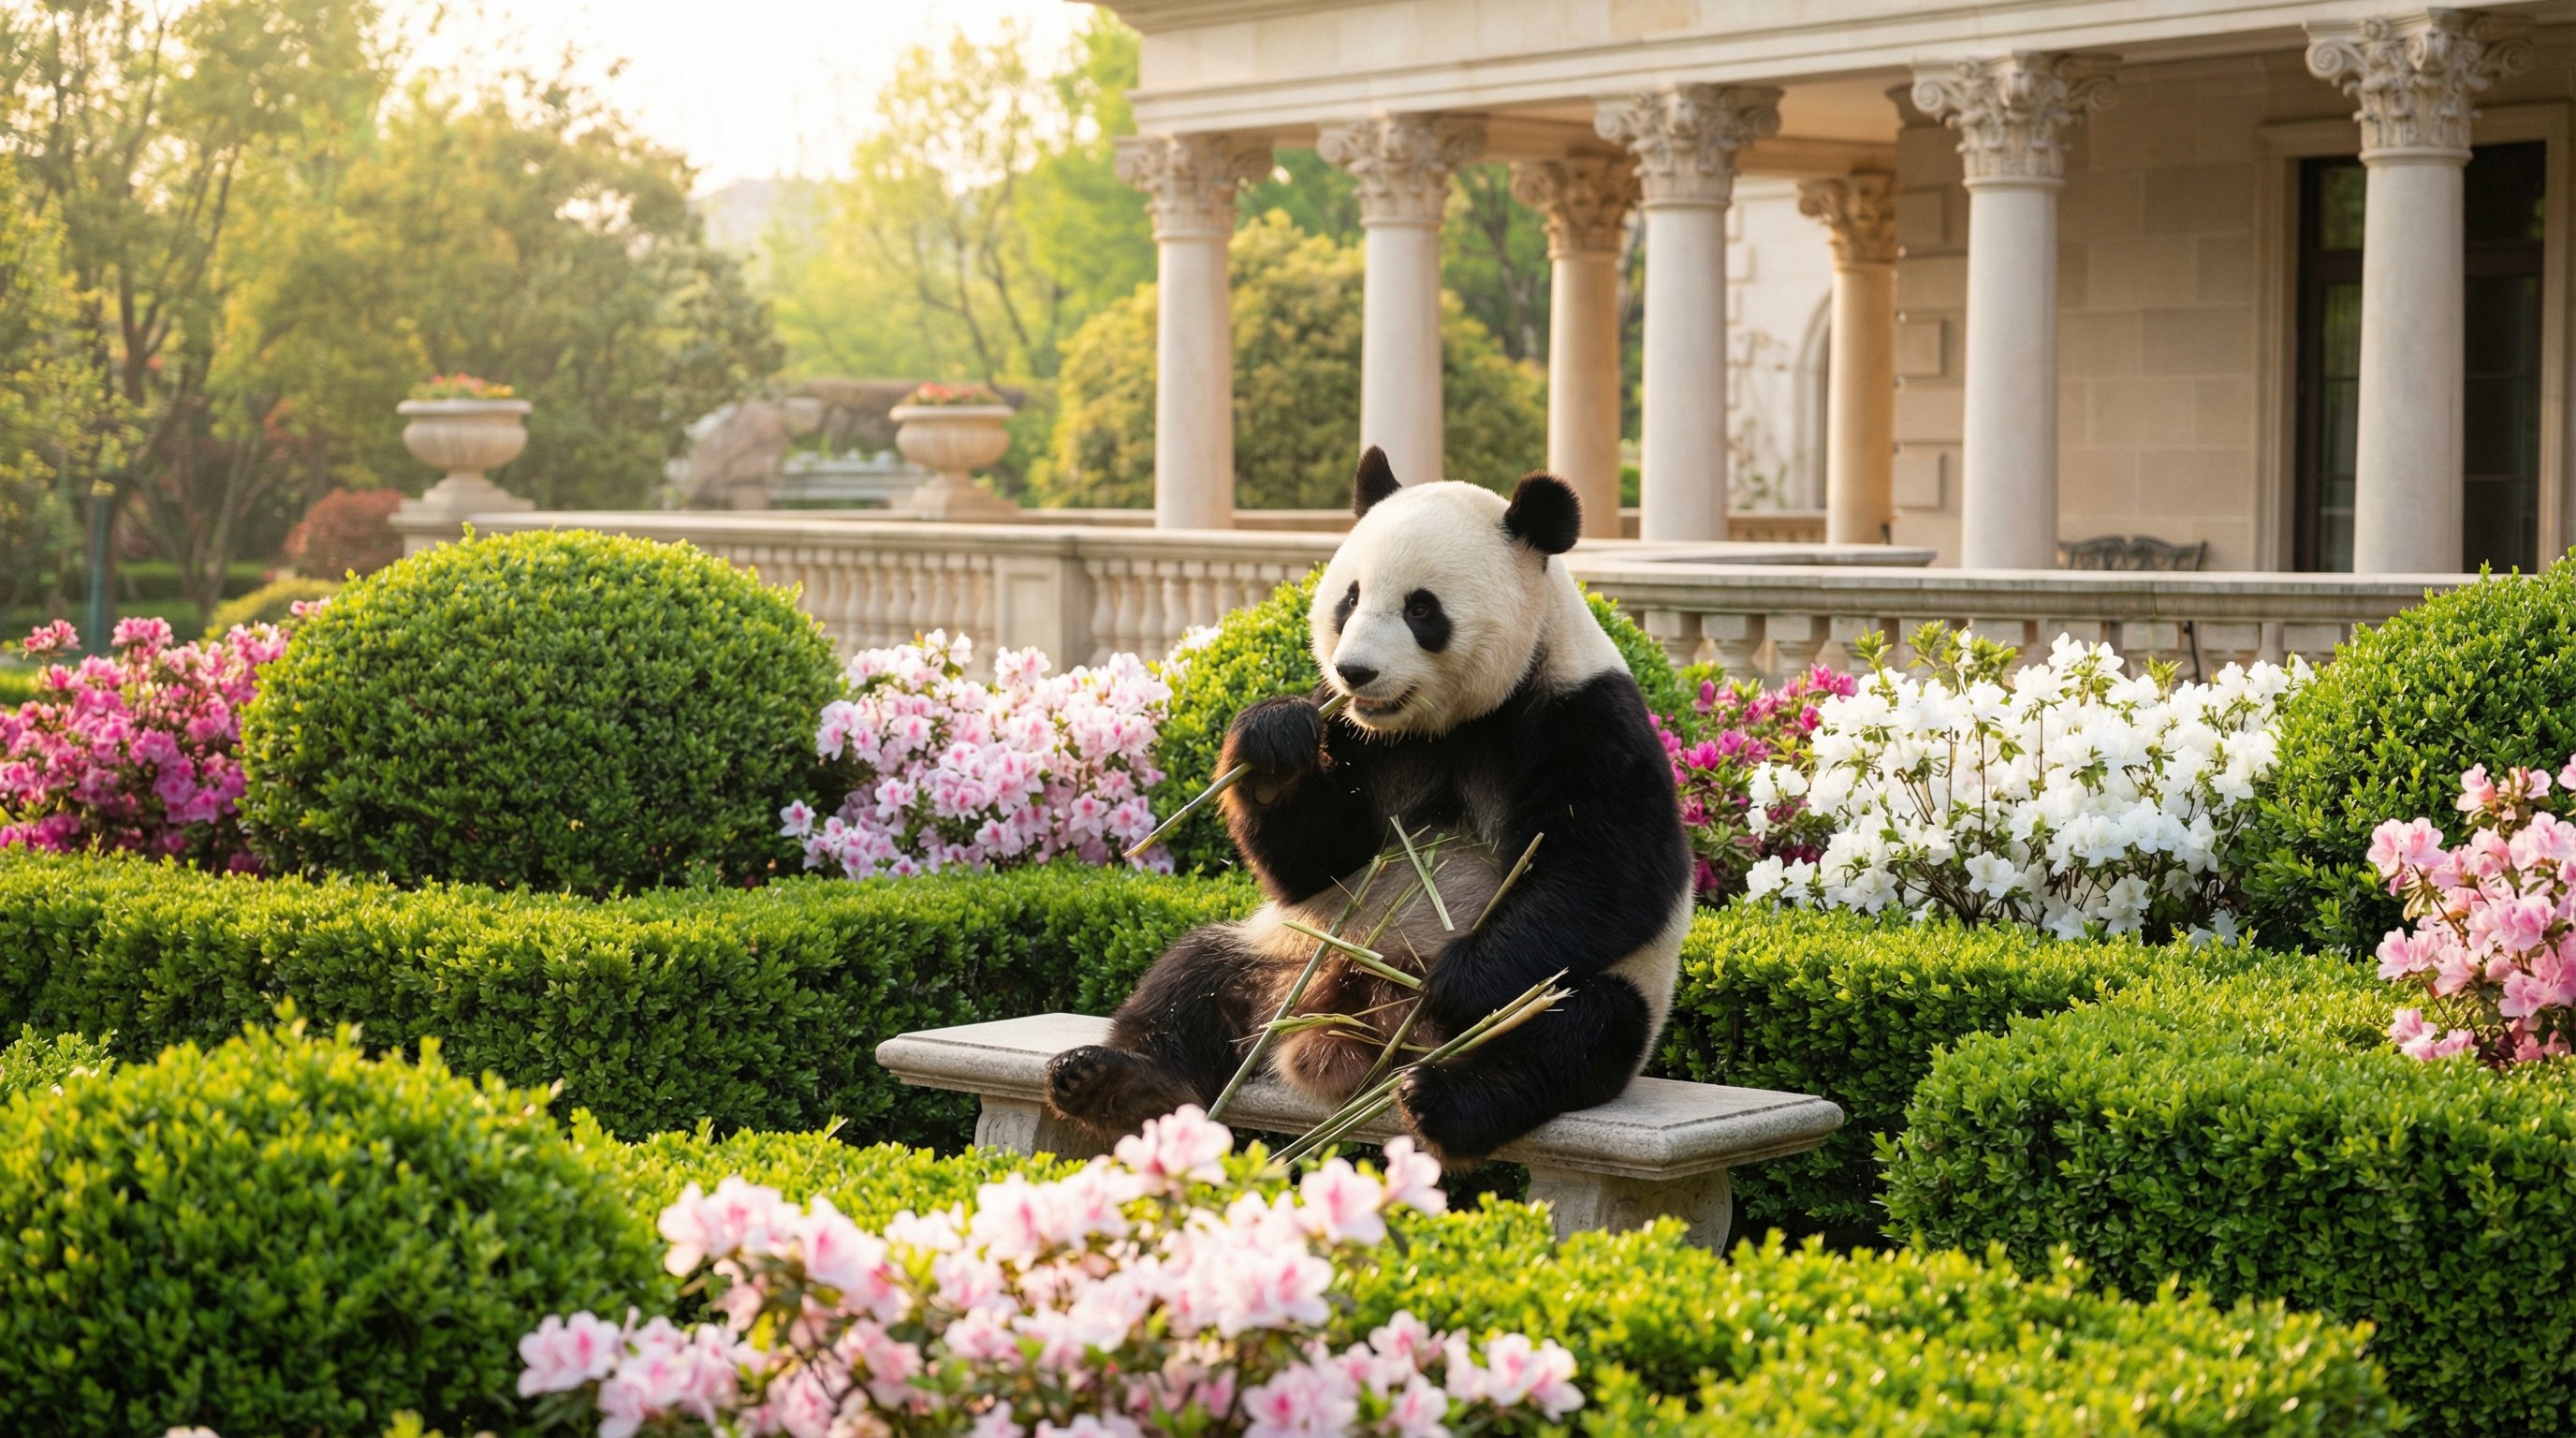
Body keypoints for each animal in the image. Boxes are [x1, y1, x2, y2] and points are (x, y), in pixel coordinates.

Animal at [1043, 447, 1693, 1165]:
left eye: (1422, 610)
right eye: (1349, 599)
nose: (1354, 672)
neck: (1450, 723)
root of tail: (1350, 1032)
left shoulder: (1583, 717)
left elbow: (1608, 874)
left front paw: (1453, 981)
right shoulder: (1357, 736)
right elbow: (1315, 857)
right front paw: (1273, 746)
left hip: (1607, 991)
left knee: (1569, 1028)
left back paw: (1442, 1095)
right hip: (1287, 950)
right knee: (1191, 975)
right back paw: (1110, 1080)